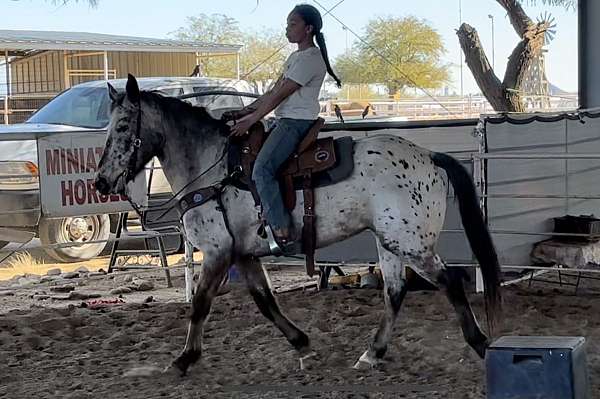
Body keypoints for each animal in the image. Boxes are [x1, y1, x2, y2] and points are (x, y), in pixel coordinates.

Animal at [95, 75, 502, 378]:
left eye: (123, 125)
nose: (101, 182)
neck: (212, 168)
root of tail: (429, 156)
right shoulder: (243, 255)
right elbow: (264, 301)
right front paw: (302, 343)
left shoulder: (216, 252)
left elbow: (199, 304)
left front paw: (183, 359)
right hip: (388, 242)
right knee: (395, 291)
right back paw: (372, 353)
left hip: (410, 244)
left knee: (449, 282)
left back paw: (480, 343)